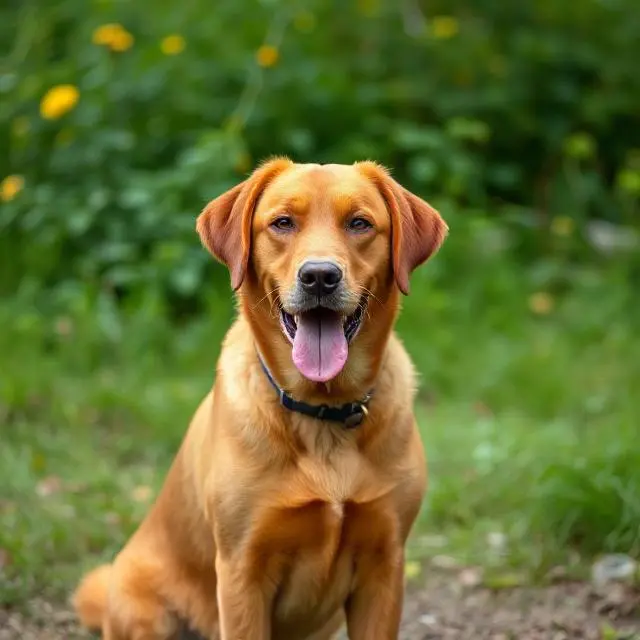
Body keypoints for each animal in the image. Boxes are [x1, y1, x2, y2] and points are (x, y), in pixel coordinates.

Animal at [72, 158, 444, 636]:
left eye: (359, 223)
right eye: (282, 223)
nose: (319, 276)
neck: (322, 411)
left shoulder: (384, 565)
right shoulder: (242, 570)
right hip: (145, 610)